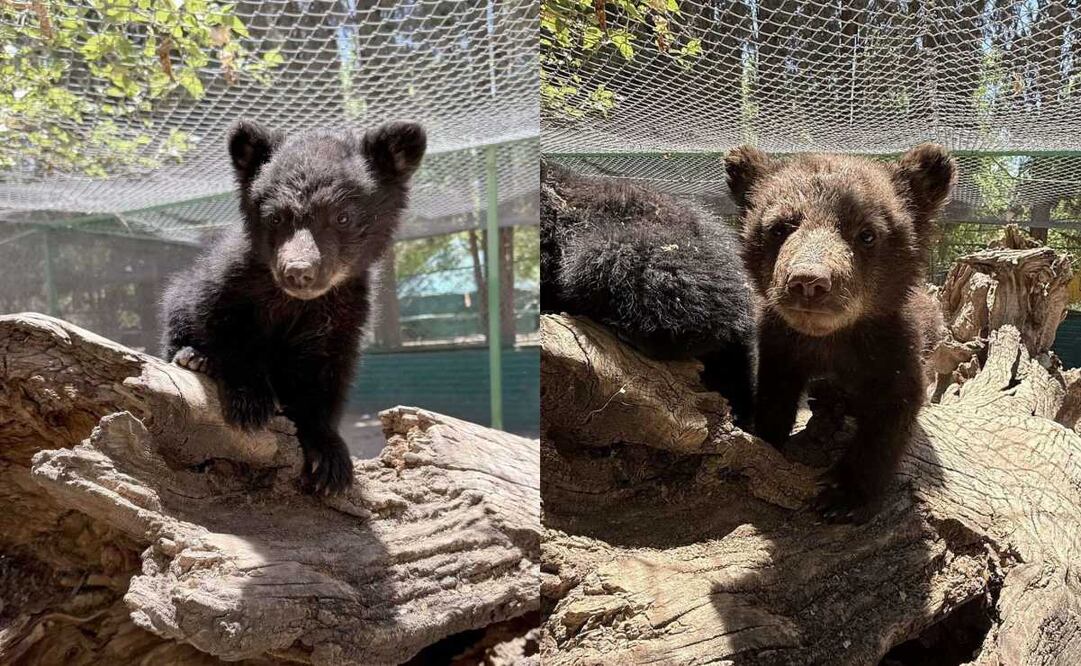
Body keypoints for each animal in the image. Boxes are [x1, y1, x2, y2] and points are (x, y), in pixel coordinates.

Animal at [162, 119, 426, 495]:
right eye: (275, 218)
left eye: (342, 218)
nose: (299, 272)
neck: (296, 302)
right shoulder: (227, 280)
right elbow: (226, 327)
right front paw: (250, 402)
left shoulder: (345, 312)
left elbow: (327, 374)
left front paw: (330, 459)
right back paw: (194, 358)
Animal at [725, 143, 955, 522]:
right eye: (780, 227)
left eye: (867, 233)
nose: (808, 282)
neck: (829, 340)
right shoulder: (781, 343)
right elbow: (774, 393)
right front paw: (765, 433)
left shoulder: (892, 348)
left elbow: (893, 412)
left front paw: (841, 494)